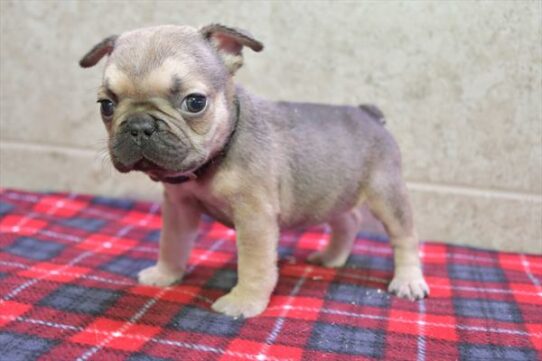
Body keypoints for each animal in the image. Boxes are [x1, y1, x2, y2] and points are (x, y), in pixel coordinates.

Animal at [81, 23, 432, 316]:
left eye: (195, 102)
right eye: (106, 105)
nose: (139, 125)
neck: (214, 160)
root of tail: (369, 114)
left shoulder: (254, 219)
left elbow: (253, 266)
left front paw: (244, 302)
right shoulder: (179, 207)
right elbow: (171, 242)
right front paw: (166, 273)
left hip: (386, 193)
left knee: (405, 236)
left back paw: (408, 280)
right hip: (332, 195)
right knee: (349, 221)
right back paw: (331, 257)